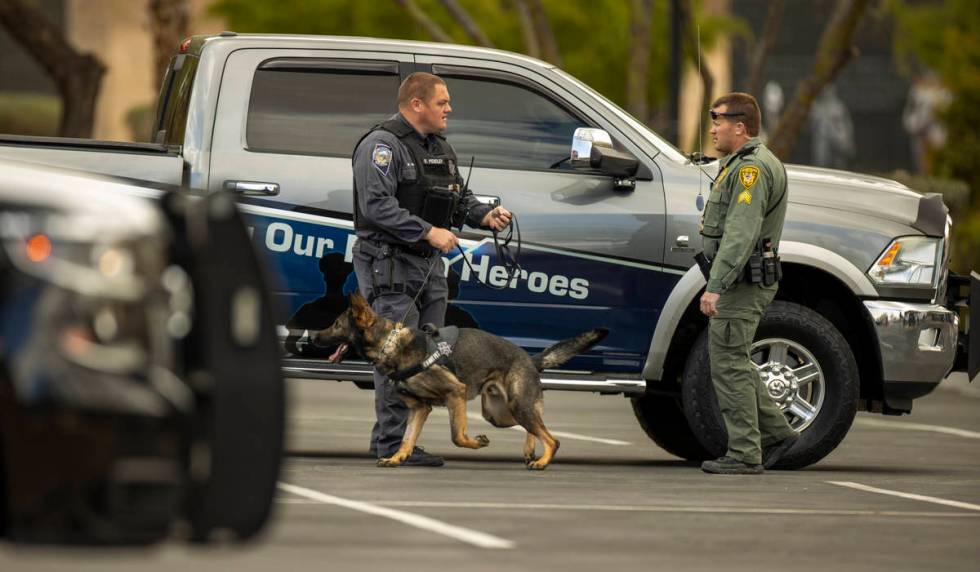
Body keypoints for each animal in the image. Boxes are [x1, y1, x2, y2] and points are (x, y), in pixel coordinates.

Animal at [314, 292, 604, 472]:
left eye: (336, 324)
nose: (314, 337)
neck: (390, 344)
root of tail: (530, 360)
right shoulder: (420, 408)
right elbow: (407, 438)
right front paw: (398, 458)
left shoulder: (456, 393)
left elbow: (458, 436)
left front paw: (476, 443)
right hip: (500, 413)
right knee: (536, 426)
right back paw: (531, 451)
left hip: (516, 406)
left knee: (552, 438)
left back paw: (542, 461)